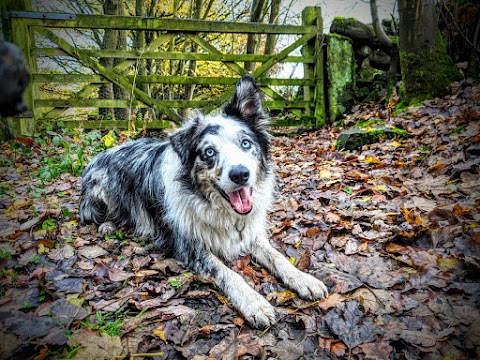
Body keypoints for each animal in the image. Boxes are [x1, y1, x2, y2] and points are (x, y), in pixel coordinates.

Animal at [80, 74, 328, 328]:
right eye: (209, 152)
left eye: (245, 143)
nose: (240, 174)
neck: (222, 210)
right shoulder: (192, 248)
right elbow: (229, 273)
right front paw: (254, 303)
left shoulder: (251, 234)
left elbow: (277, 256)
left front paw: (304, 279)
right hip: (102, 189)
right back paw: (107, 225)